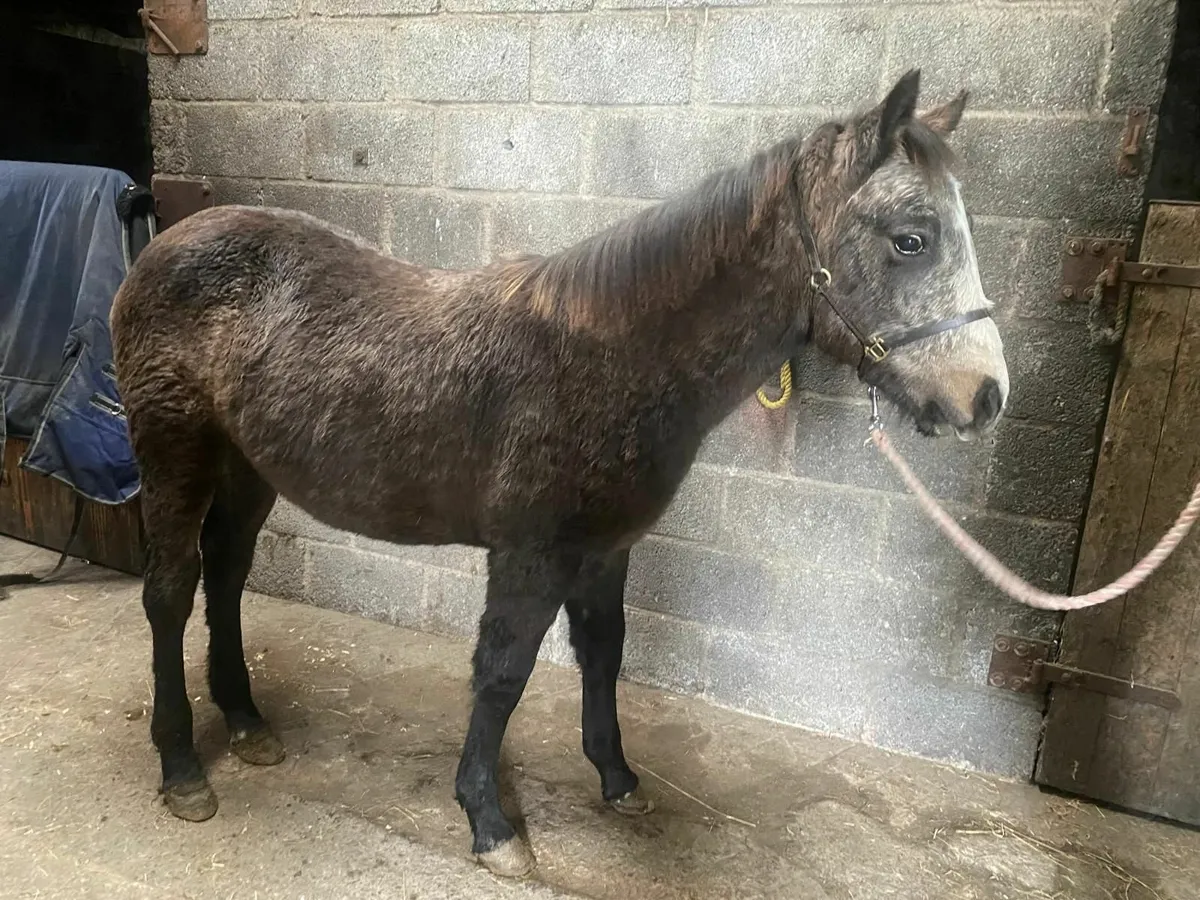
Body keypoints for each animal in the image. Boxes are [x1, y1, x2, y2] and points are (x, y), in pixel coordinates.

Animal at [109, 69, 1008, 877]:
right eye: (911, 239)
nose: (987, 396)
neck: (609, 360)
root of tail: (167, 244)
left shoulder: (605, 549)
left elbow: (604, 653)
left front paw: (616, 777)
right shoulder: (530, 555)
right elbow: (503, 675)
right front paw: (489, 821)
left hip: (245, 466)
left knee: (226, 576)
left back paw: (247, 723)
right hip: (174, 452)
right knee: (170, 593)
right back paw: (181, 766)